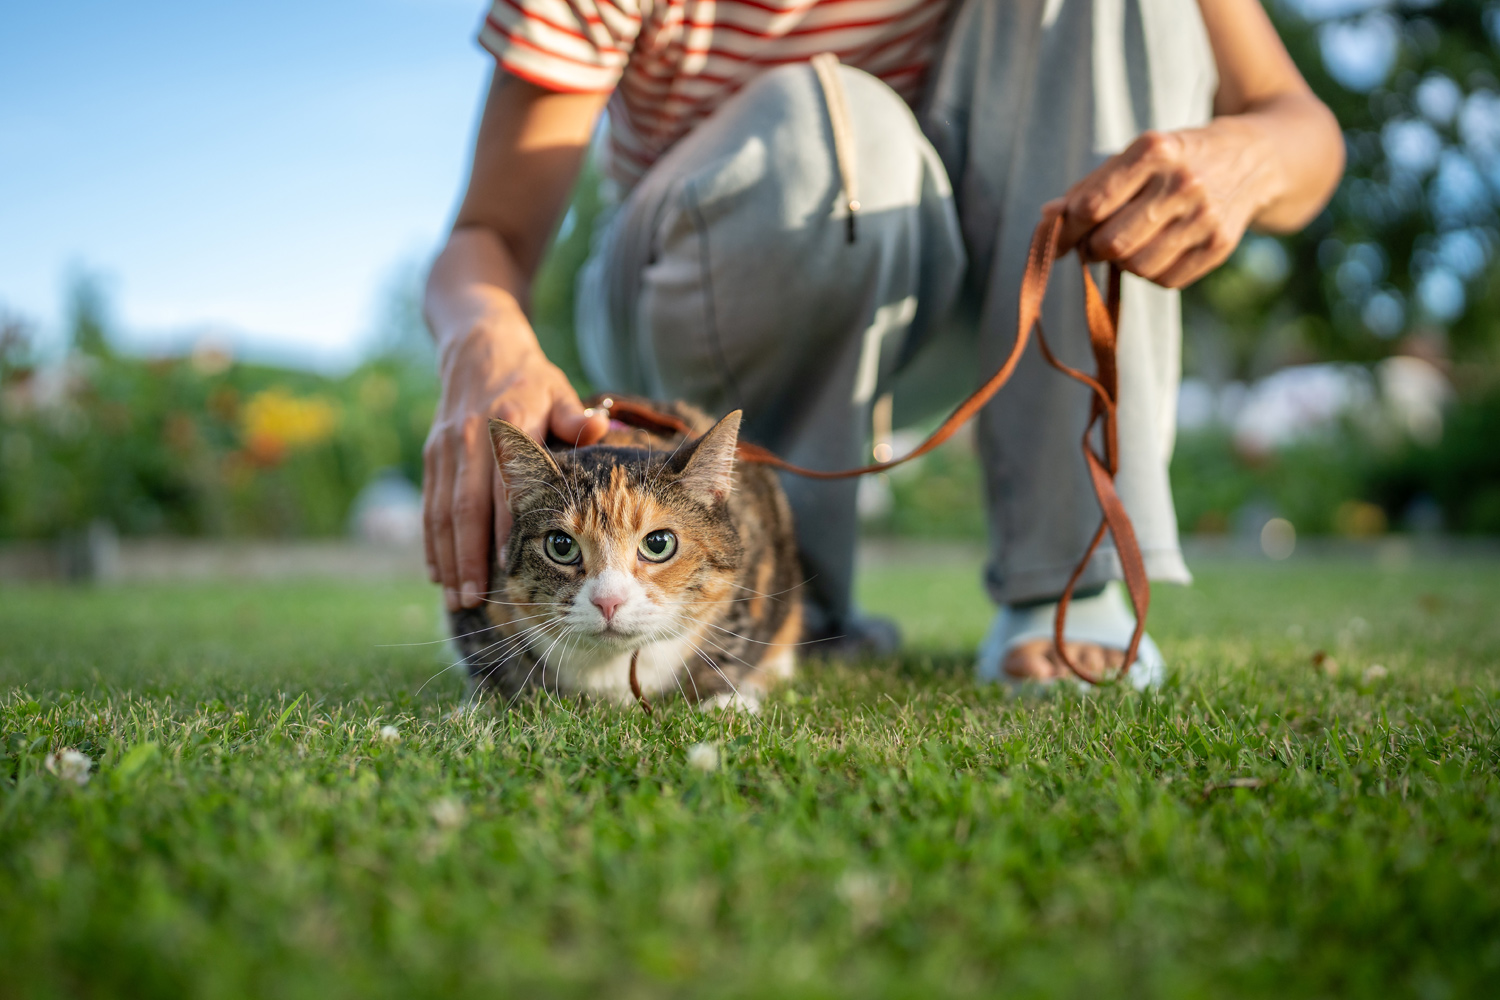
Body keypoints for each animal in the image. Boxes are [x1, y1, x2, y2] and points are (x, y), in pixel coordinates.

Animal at [447, 398, 810, 710]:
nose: (608, 601)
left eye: (658, 543)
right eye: (561, 546)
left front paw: (723, 701)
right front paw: (480, 707)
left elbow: (730, 642)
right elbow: (487, 658)